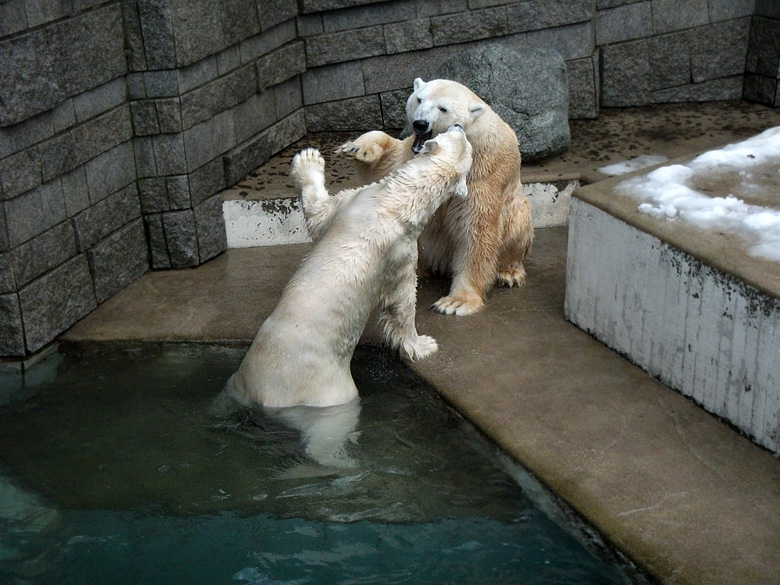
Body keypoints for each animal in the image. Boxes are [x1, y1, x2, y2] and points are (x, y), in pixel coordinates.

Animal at [222, 124, 472, 406]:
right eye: (460, 137)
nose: (458, 125)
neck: (399, 200)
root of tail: (268, 398)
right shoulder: (367, 213)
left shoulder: (396, 249)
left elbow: (401, 302)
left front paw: (423, 344)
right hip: (244, 376)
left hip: (329, 389)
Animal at [338, 78, 532, 314]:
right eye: (419, 99)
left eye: (443, 108)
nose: (420, 124)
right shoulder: (409, 154)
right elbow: (386, 165)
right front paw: (356, 147)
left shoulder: (484, 172)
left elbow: (475, 230)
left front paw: (456, 302)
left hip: (518, 213)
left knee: (516, 227)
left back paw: (508, 273)